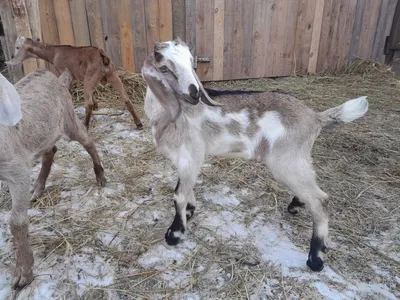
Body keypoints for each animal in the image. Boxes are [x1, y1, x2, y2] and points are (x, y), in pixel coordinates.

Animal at [6, 35, 142, 129]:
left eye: (17, 47)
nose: (12, 57)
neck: (55, 53)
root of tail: (102, 55)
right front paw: (97, 105)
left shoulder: (66, 73)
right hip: (112, 75)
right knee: (126, 99)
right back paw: (139, 123)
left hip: (91, 77)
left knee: (88, 103)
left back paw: (85, 125)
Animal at [143, 37, 368, 272]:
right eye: (164, 68)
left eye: (191, 63)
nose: (194, 93)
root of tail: (315, 117)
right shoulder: (185, 160)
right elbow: (186, 188)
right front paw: (189, 211)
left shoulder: (191, 153)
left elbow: (178, 194)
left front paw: (175, 234)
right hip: (298, 158)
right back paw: (296, 205)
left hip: (286, 161)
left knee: (320, 201)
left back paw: (315, 258)